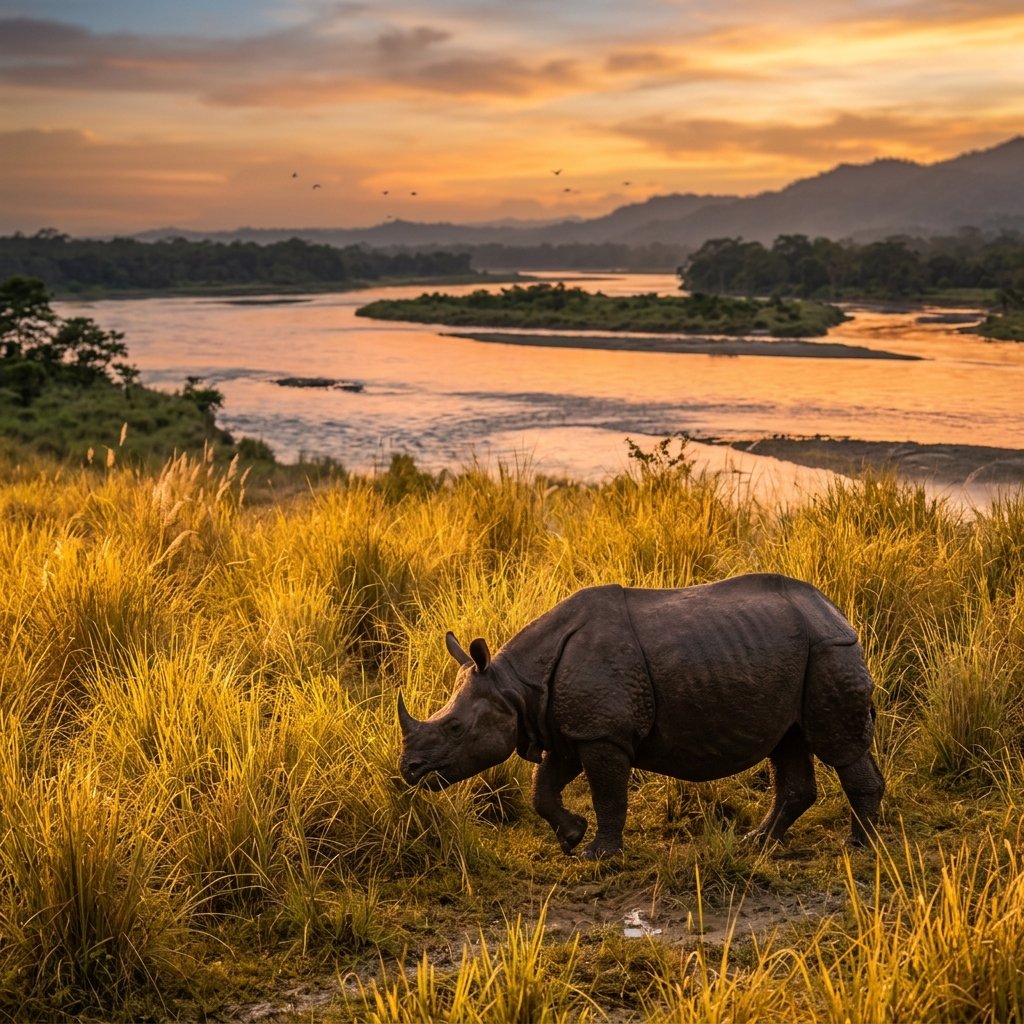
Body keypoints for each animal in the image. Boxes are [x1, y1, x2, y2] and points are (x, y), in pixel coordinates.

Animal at [397, 573, 884, 858]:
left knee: (837, 747)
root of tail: (835, 611)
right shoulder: (572, 728)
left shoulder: (602, 733)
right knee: (787, 743)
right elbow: (543, 788)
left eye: (455, 728)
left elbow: (608, 795)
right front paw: (571, 837)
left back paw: (858, 848)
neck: (517, 686)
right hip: (790, 654)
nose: (410, 770)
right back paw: (758, 844)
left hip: (829, 651)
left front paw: (599, 854)